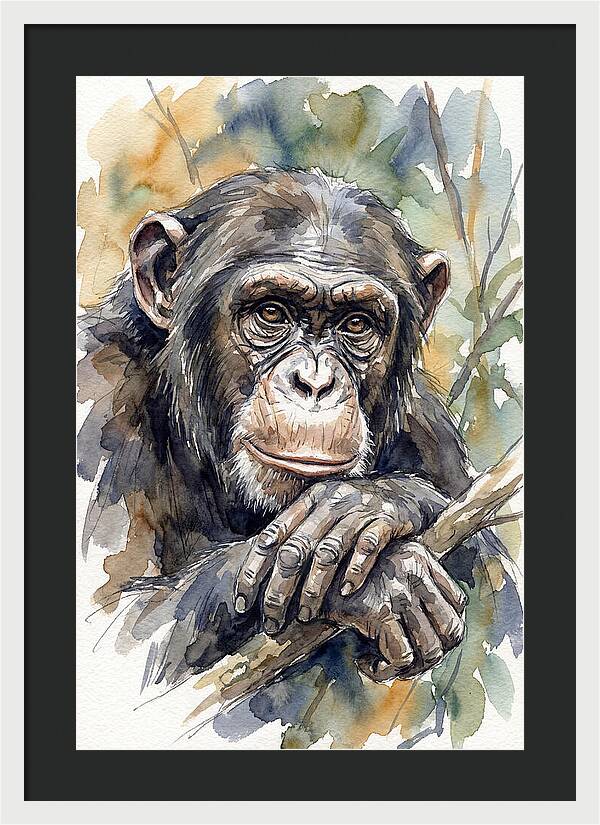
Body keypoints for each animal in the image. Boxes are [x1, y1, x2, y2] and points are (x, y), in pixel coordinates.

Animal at [78, 168, 521, 687]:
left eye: (357, 324)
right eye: (271, 312)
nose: (314, 382)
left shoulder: (430, 431)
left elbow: (500, 595)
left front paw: (367, 504)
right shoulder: (97, 395)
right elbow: (117, 630)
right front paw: (388, 579)